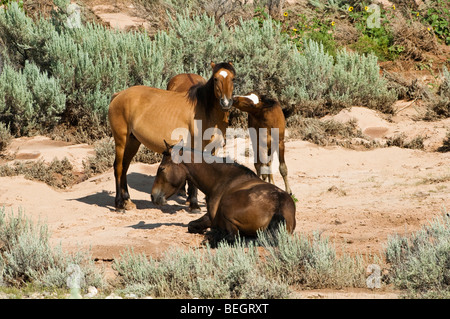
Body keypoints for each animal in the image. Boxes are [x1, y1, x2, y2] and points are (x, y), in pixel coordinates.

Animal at [108, 62, 236, 212]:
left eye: (233, 79)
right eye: (215, 79)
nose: (226, 103)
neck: (206, 111)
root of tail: (118, 95)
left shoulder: (213, 148)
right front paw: (194, 205)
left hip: (132, 141)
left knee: (125, 166)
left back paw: (127, 201)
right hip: (121, 140)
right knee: (118, 167)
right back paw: (119, 204)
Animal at [153, 141, 298, 241]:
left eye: (161, 168)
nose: (153, 196)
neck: (223, 179)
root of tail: (278, 206)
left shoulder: (214, 219)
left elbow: (192, 225)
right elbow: (192, 224)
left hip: (227, 209)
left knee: (233, 237)